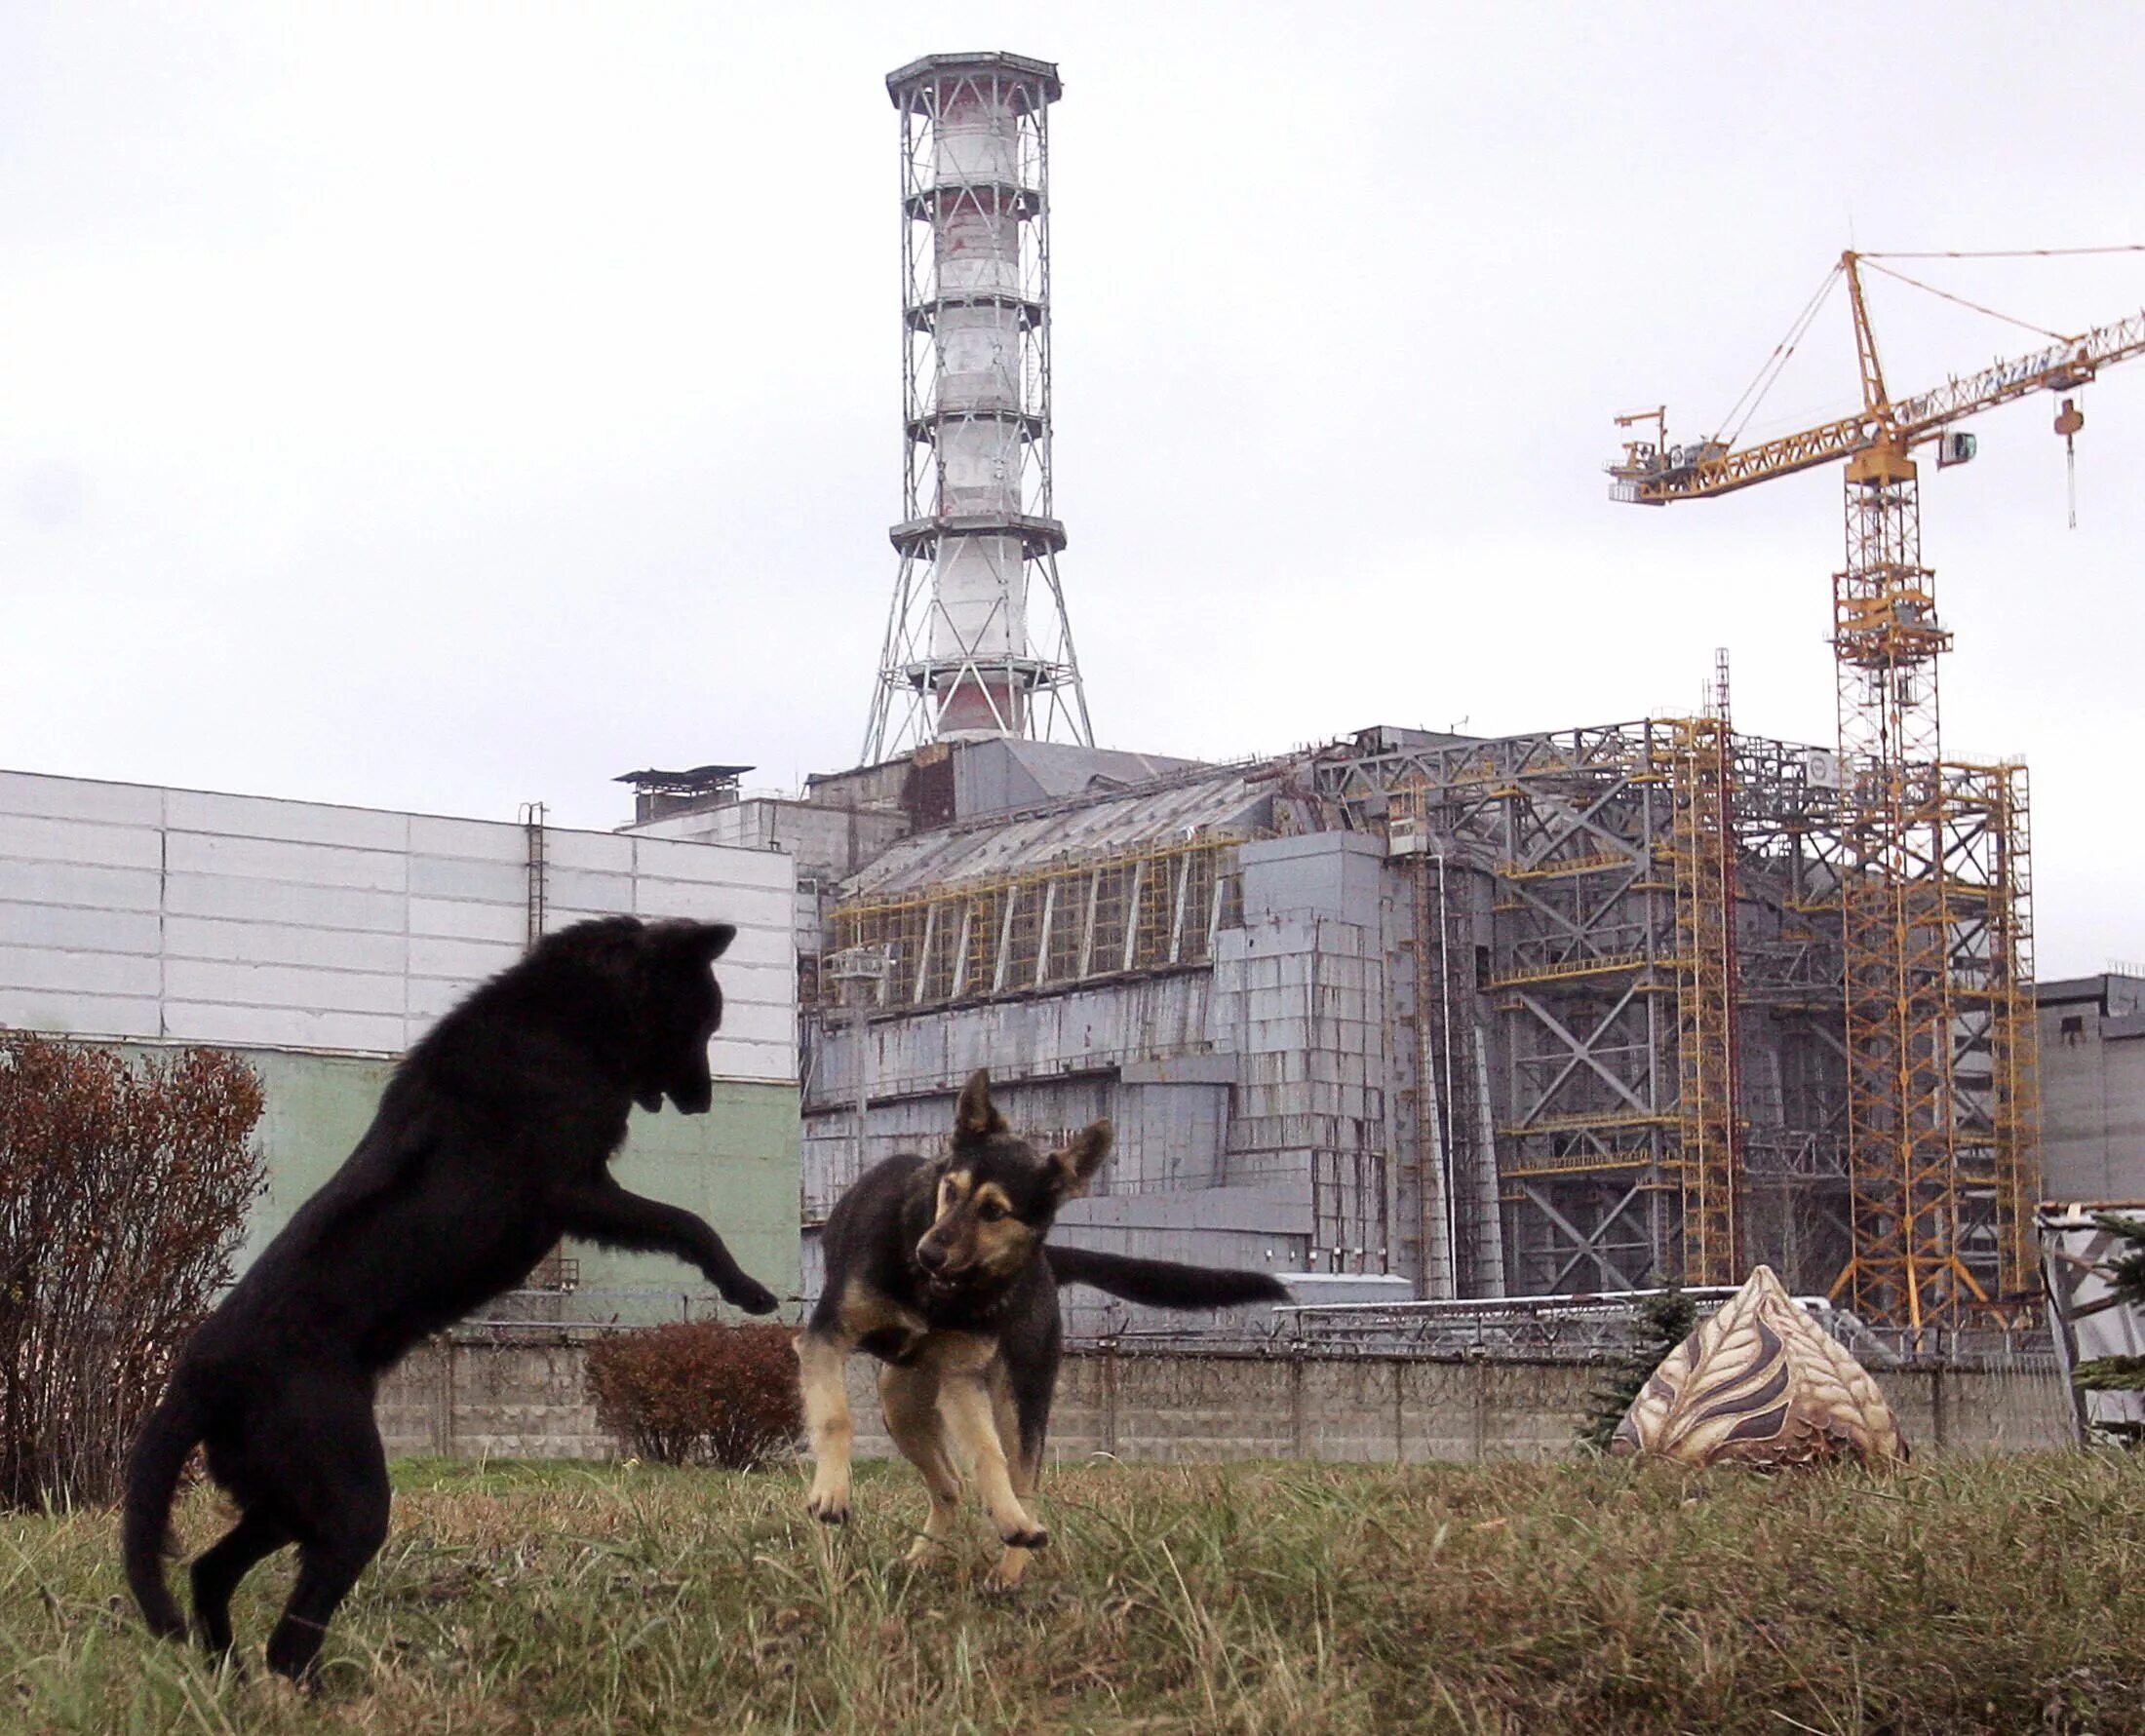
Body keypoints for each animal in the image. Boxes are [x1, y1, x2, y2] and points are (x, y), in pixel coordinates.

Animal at [121, 912, 785, 1672]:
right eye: (704, 1022)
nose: (704, 1100)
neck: (570, 1020)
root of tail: (197, 1375)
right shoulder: (577, 1189)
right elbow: (687, 1222)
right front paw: (747, 1288)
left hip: (284, 1497)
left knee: (210, 1570)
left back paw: (226, 1672)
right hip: (347, 1495)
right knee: (290, 1634)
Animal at [794, 1062, 1278, 1586]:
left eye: (993, 1211)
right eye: (951, 1190)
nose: (928, 1253)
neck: (937, 1294)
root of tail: (1046, 1264)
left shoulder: (961, 1377)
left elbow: (990, 1457)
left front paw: (1009, 1519)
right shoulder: (825, 1338)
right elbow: (836, 1417)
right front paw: (832, 1493)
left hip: (1018, 1392)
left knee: (1017, 1477)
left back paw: (1010, 1555)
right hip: (899, 1399)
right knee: (949, 1485)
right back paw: (922, 1557)